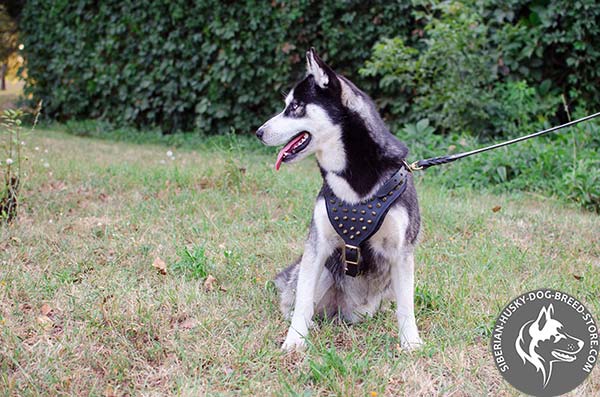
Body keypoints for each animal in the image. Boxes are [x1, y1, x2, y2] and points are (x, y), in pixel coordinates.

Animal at [256, 48, 422, 350]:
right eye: (287, 105)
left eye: (295, 107)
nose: (259, 132)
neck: (353, 179)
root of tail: (346, 312)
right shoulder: (317, 245)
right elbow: (302, 303)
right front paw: (295, 340)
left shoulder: (401, 252)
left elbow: (406, 306)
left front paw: (410, 343)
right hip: (318, 271)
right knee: (296, 299)